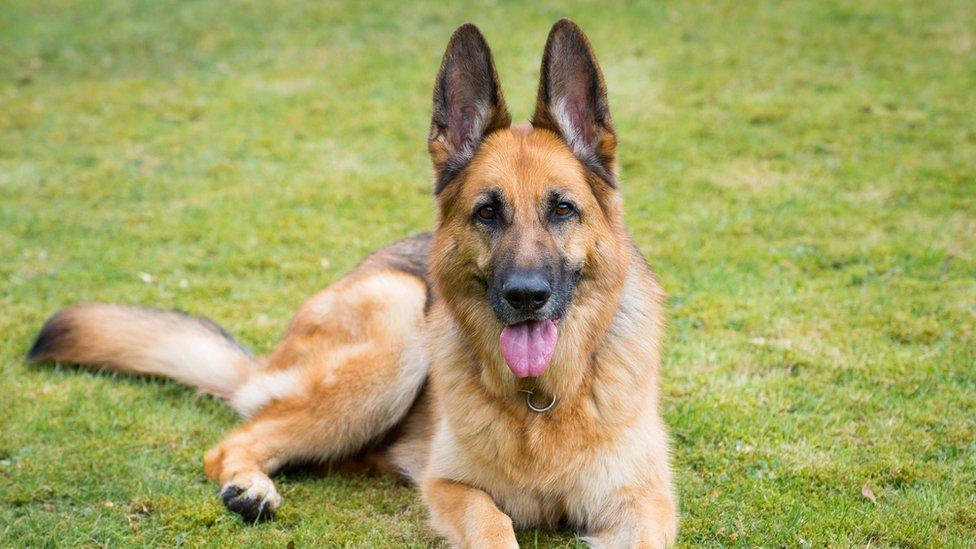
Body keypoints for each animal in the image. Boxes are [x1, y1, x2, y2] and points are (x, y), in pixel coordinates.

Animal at [24, 19, 680, 544]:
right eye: (487, 213)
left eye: (563, 209)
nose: (524, 296)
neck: (540, 400)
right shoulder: (452, 487)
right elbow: (492, 522)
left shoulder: (645, 503)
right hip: (396, 329)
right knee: (236, 441)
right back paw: (249, 487)